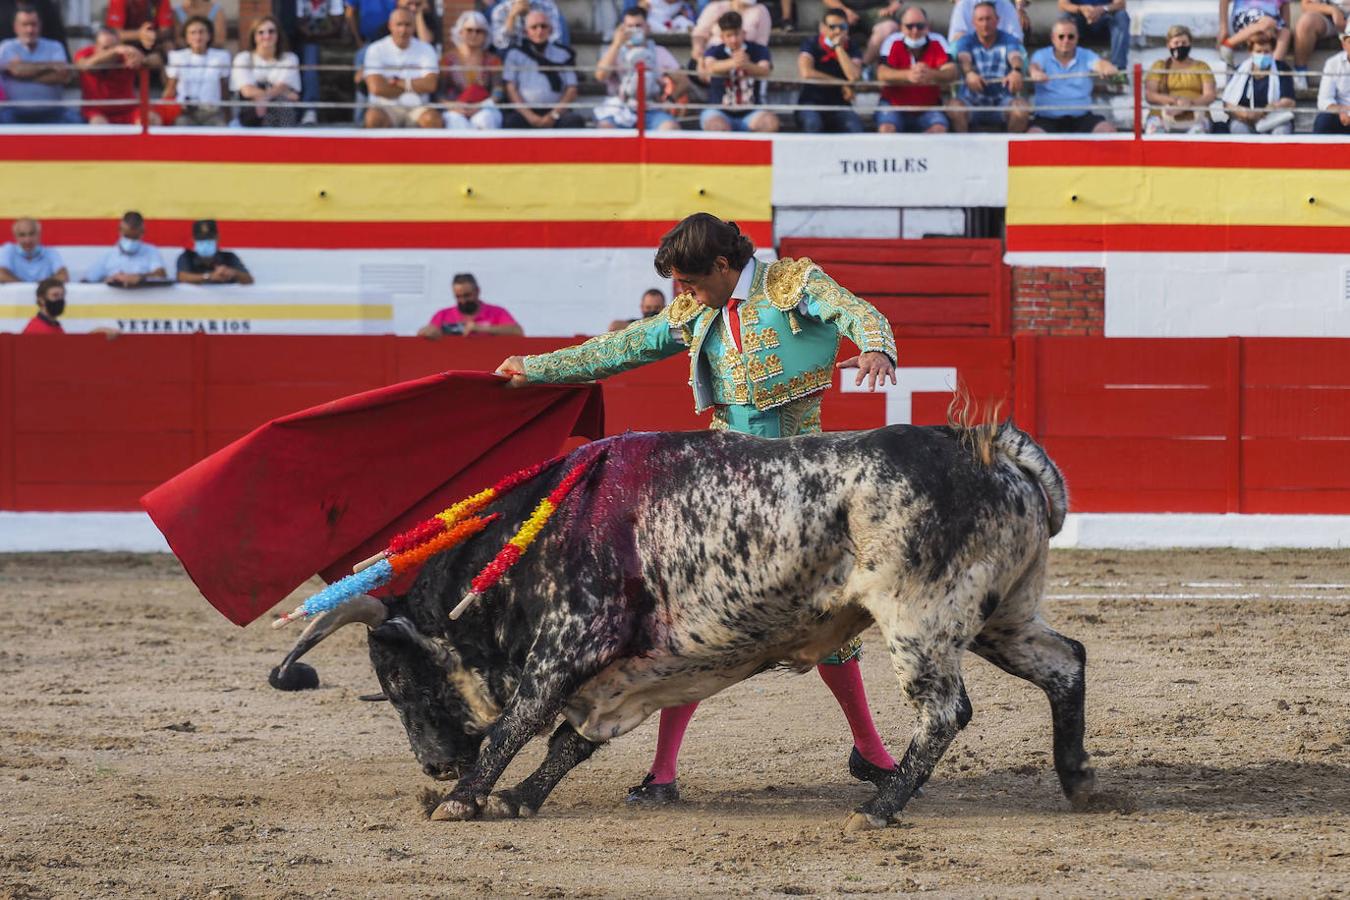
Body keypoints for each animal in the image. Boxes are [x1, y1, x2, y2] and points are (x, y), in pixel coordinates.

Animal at [274, 423, 1096, 831]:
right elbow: (570, 739)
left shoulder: (573, 639)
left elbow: (520, 720)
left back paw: (879, 808)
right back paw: (1080, 778)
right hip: (1004, 616)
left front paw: (465, 801)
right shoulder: (643, 670)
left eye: (402, 683)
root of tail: (990, 449)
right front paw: (516, 798)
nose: (434, 768)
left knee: (945, 711)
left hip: (918, 618)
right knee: (1067, 659)